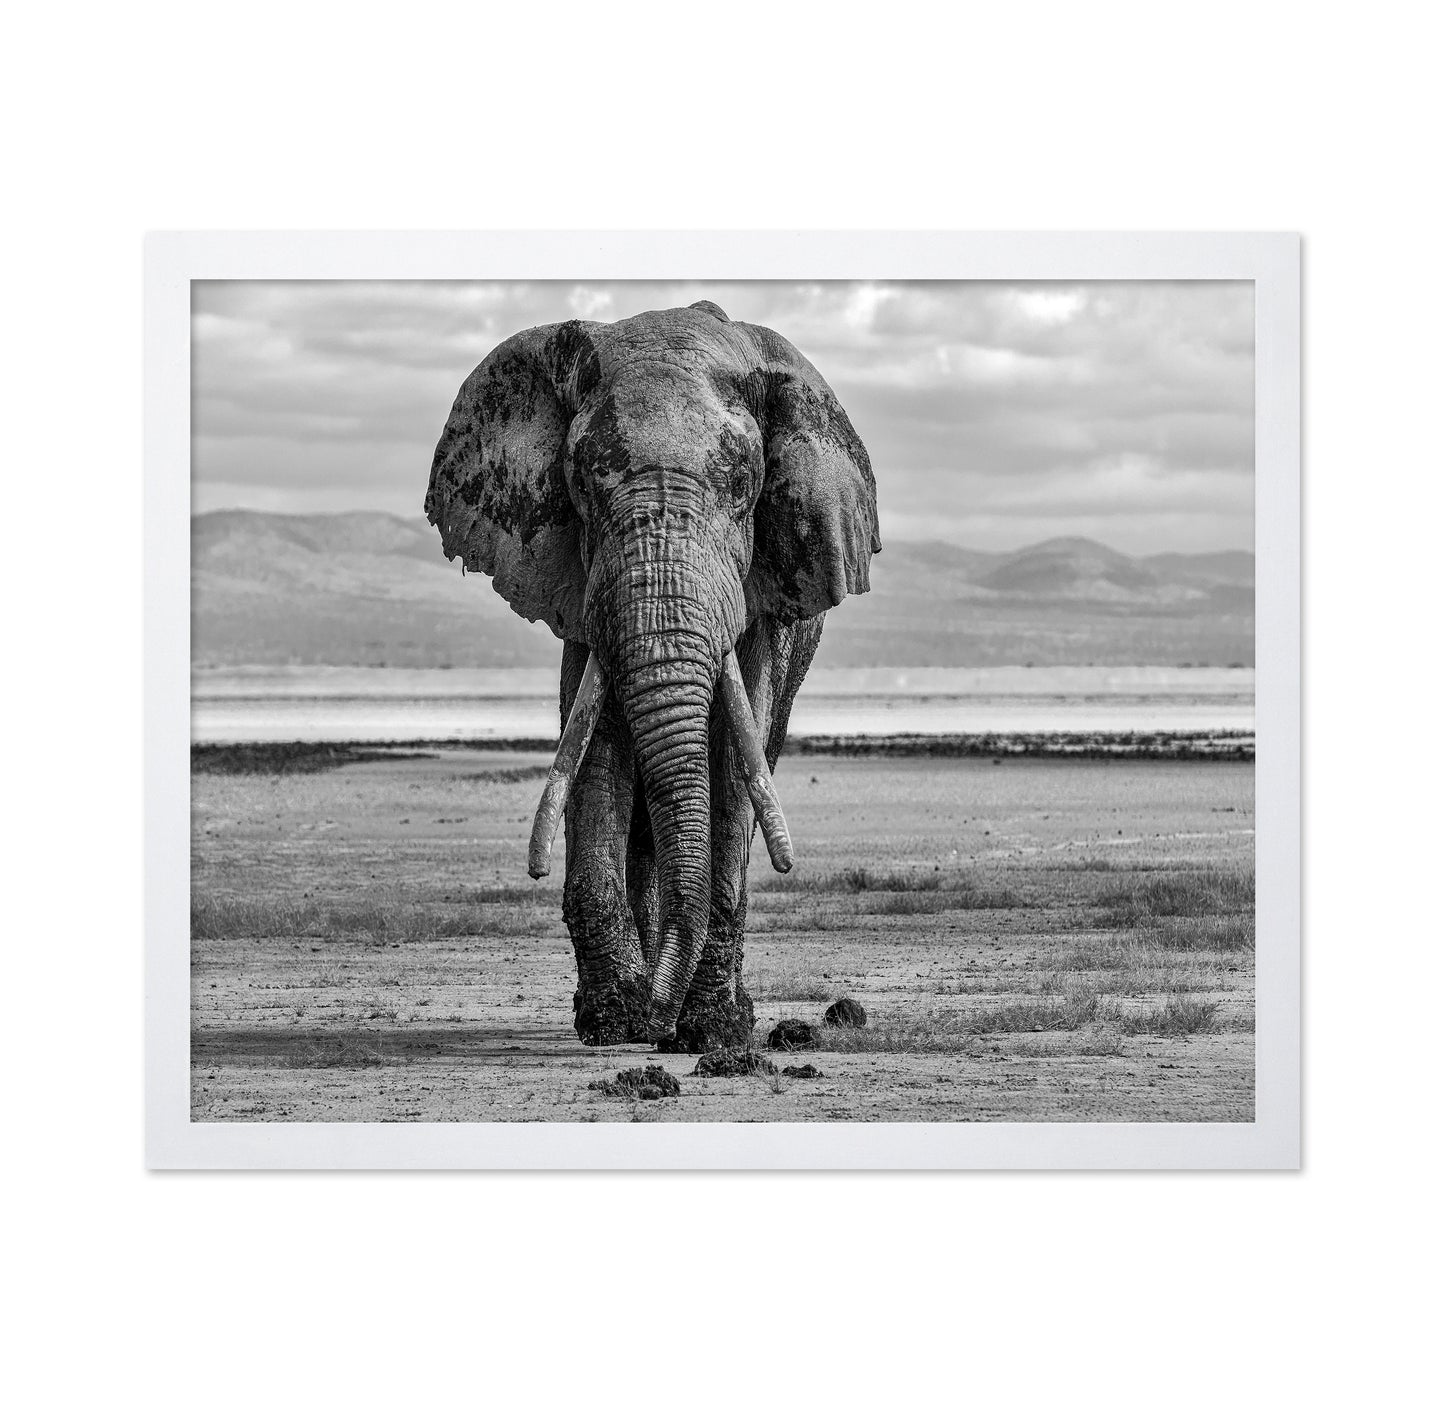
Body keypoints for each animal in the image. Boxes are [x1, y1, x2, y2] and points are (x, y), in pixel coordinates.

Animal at [424, 300, 879, 1051]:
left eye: (743, 485)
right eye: (581, 482)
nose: (654, 1019)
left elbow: (733, 758)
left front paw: (711, 1032)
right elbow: (596, 748)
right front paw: (613, 1021)